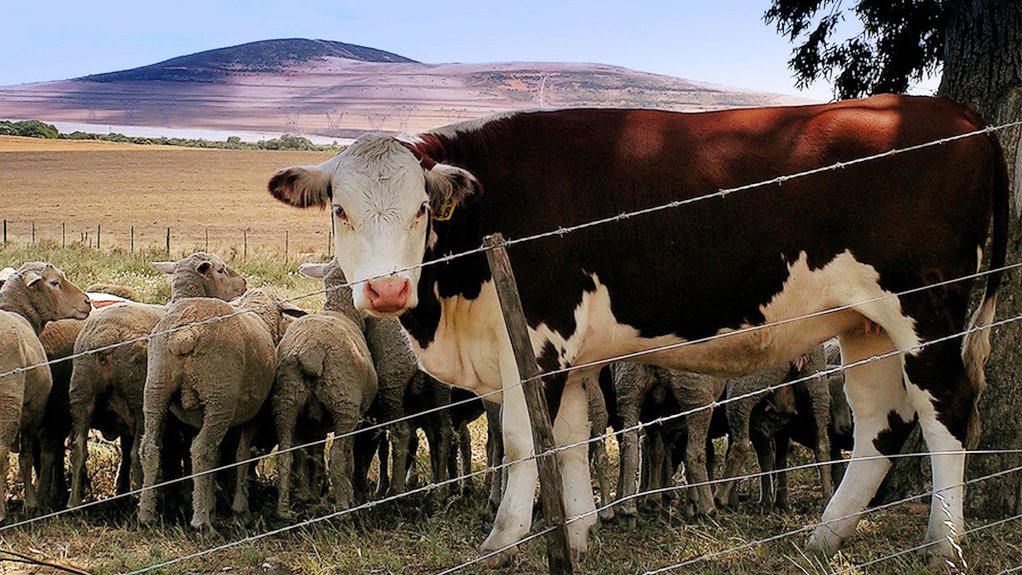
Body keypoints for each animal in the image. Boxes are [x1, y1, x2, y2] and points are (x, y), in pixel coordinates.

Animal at [0, 262, 91, 522]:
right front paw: (33, 503)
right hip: (8, 404)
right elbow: (27, 457)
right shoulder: (35, 409)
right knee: (1, 454)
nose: (87, 301)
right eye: (54, 283)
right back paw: (1, 513)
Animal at [67, 252, 247, 508]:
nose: (244, 283)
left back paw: (74, 503)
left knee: (79, 449)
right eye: (221, 270)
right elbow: (180, 450)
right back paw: (140, 498)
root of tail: (106, 338)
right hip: (138, 397)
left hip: (81, 393)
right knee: (137, 452)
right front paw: (182, 492)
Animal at [139, 287, 302, 529]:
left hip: (156, 386)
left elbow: (217, 458)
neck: (261, 315)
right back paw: (201, 523)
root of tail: (185, 333)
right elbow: (242, 455)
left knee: (150, 446)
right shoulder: (252, 413)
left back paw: (146, 515)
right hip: (220, 397)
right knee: (201, 449)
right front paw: (239, 511)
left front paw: (212, 506)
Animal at [272, 260, 377, 516]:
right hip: (344, 402)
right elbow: (344, 456)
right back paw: (344, 507)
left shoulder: (312, 423)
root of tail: (311, 351)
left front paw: (308, 494)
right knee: (337, 457)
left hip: (286, 400)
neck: (343, 311)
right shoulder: (357, 415)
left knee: (285, 455)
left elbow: (312, 454)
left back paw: (284, 510)